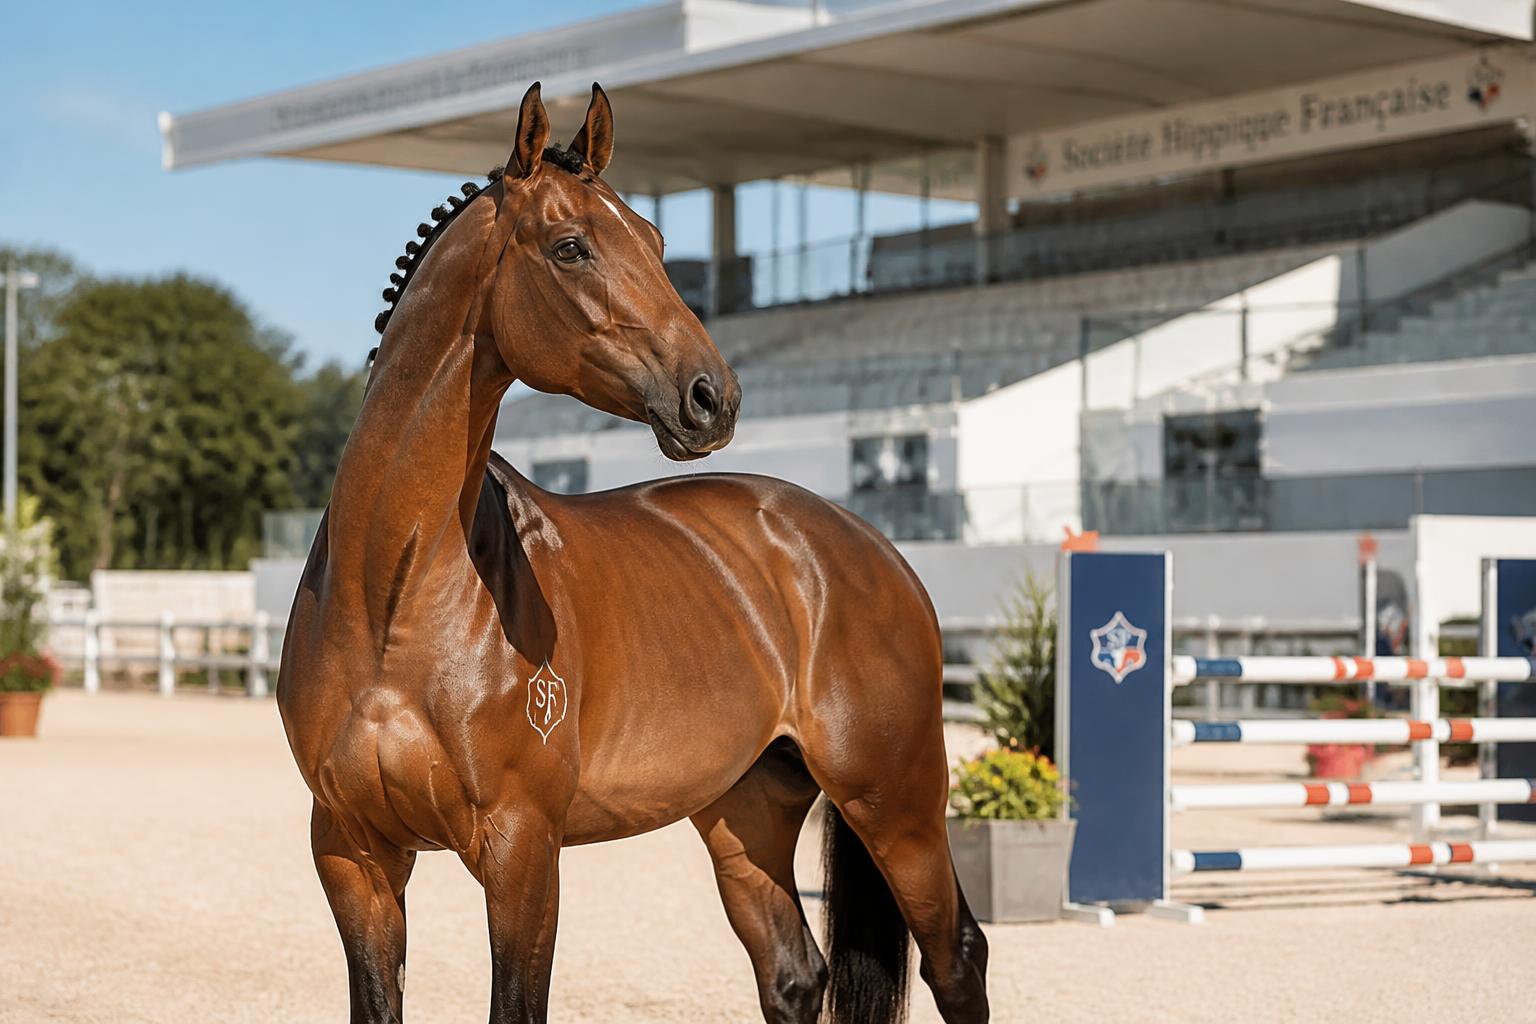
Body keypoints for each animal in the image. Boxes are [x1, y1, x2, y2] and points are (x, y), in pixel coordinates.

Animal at [276, 81, 988, 1024]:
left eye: (654, 242)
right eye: (570, 247)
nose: (712, 397)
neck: (392, 597)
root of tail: (869, 551)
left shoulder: (522, 852)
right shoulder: (352, 855)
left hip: (897, 805)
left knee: (958, 959)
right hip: (746, 816)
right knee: (794, 973)